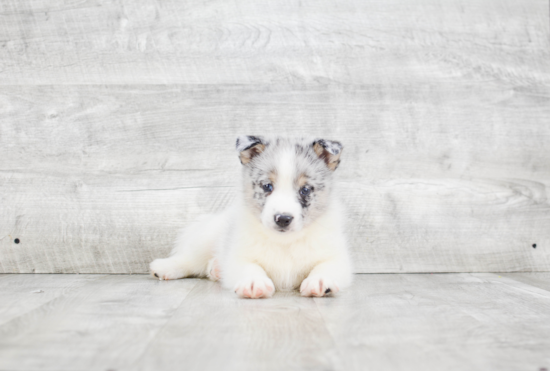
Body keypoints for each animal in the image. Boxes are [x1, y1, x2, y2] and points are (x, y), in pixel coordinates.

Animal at [149, 137, 354, 300]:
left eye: (305, 190)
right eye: (267, 186)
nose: (283, 219)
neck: (285, 242)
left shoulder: (336, 257)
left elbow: (325, 266)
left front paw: (320, 280)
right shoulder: (239, 254)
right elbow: (250, 266)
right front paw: (254, 282)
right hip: (207, 238)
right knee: (189, 259)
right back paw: (165, 267)